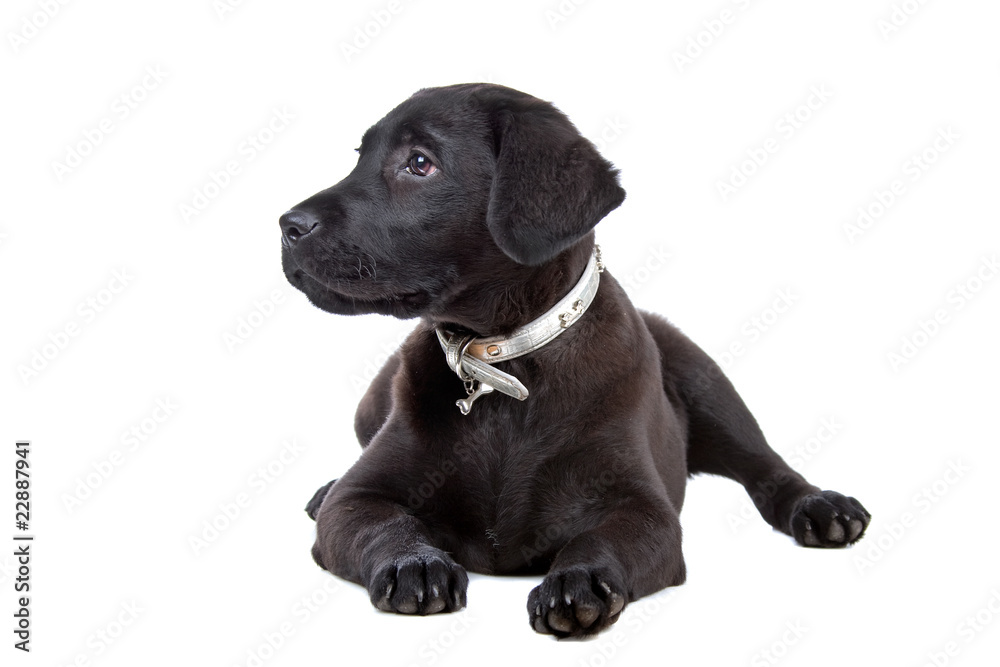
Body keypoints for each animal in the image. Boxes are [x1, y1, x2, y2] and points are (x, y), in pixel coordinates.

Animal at [278, 85, 872, 640]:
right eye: (360, 155)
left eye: (419, 162)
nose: (286, 224)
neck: (501, 364)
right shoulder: (360, 498)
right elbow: (379, 521)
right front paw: (415, 561)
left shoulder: (645, 511)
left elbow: (599, 537)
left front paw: (579, 580)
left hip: (706, 382)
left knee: (765, 468)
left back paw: (821, 508)